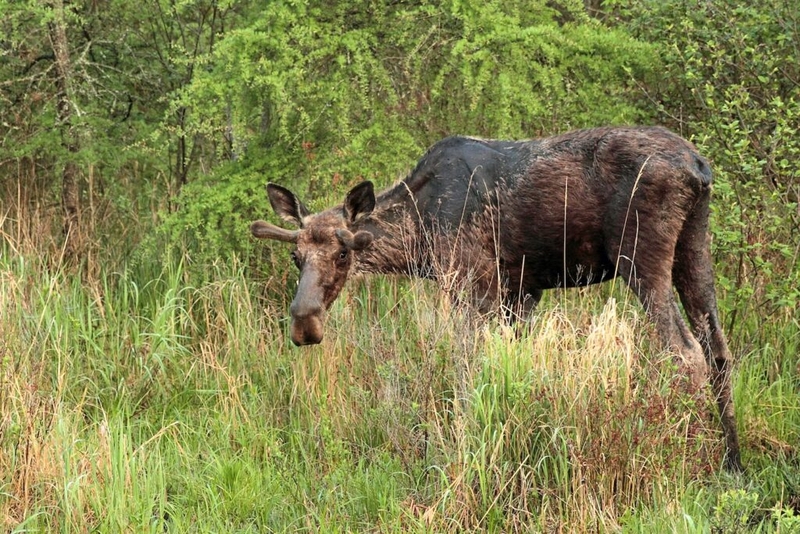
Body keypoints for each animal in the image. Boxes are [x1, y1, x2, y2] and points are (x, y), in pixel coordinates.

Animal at [250, 126, 743, 472]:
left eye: (342, 253)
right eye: (295, 256)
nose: (304, 322)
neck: (418, 237)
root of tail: (699, 167)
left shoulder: (473, 287)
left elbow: (465, 373)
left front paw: (458, 450)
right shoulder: (521, 294)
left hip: (640, 257)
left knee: (685, 353)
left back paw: (690, 459)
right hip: (693, 247)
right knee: (718, 350)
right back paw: (732, 464)